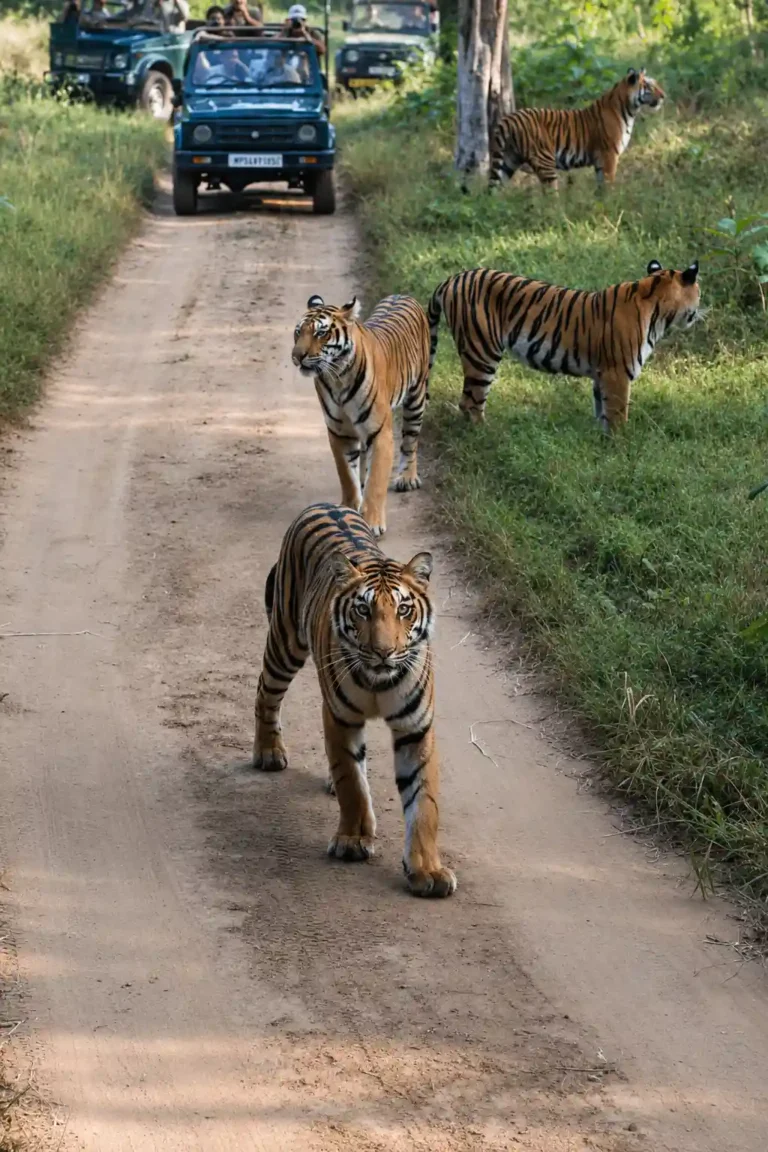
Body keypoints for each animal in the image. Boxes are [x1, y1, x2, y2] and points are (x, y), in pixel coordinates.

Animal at [253, 502, 457, 899]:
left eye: (403, 610)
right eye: (363, 610)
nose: (383, 651)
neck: (380, 681)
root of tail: (324, 503)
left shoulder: (416, 729)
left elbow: (424, 803)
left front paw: (427, 871)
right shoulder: (340, 717)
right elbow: (351, 781)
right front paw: (353, 840)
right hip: (286, 643)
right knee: (265, 692)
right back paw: (268, 752)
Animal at [292, 294, 430, 539]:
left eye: (320, 333)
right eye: (298, 332)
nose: (297, 356)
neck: (338, 378)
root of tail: (402, 295)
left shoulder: (381, 433)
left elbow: (377, 481)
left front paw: (373, 522)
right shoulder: (340, 433)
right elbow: (347, 476)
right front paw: (349, 508)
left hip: (416, 397)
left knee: (410, 441)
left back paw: (407, 478)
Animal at [427, 261, 701, 431]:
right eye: (699, 293)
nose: (700, 311)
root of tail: (451, 279)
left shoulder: (602, 373)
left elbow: (601, 409)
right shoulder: (617, 373)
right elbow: (617, 414)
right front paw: (620, 446)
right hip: (482, 351)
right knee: (470, 402)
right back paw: (488, 434)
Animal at [488, 68, 665, 190]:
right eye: (649, 86)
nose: (664, 95)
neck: (630, 110)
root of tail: (508, 118)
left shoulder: (600, 161)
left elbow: (600, 186)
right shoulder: (609, 155)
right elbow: (609, 183)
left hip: (508, 161)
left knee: (492, 193)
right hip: (544, 161)